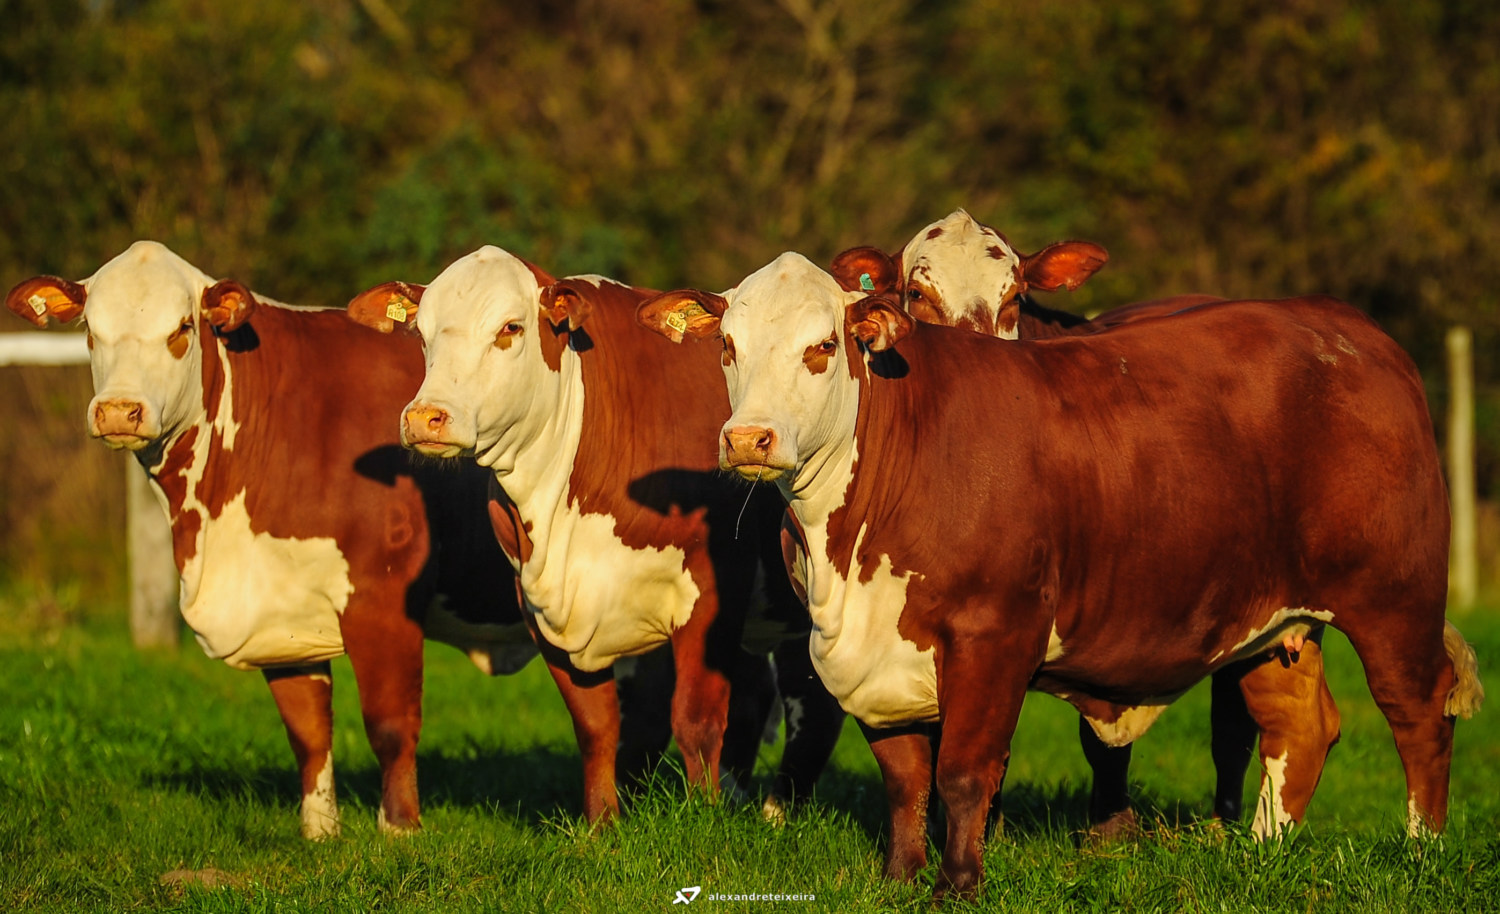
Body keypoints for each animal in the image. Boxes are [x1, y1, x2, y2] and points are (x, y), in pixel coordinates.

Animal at [2, 240, 534, 834]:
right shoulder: (282, 608)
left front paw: (399, 830)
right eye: (91, 330)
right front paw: (319, 831)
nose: (118, 410)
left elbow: (391, 725)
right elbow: (307, 731)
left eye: (181, 328)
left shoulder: (384, 596)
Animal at [343, 246, 852, 822]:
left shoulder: (711, 587)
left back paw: (777, 809)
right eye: (423, 335)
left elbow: (696, 719)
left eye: (510, 328)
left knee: (809, 703)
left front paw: (706, 816)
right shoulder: (538, 599)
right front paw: (602, 823)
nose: (426, 417)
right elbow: (597, 724)